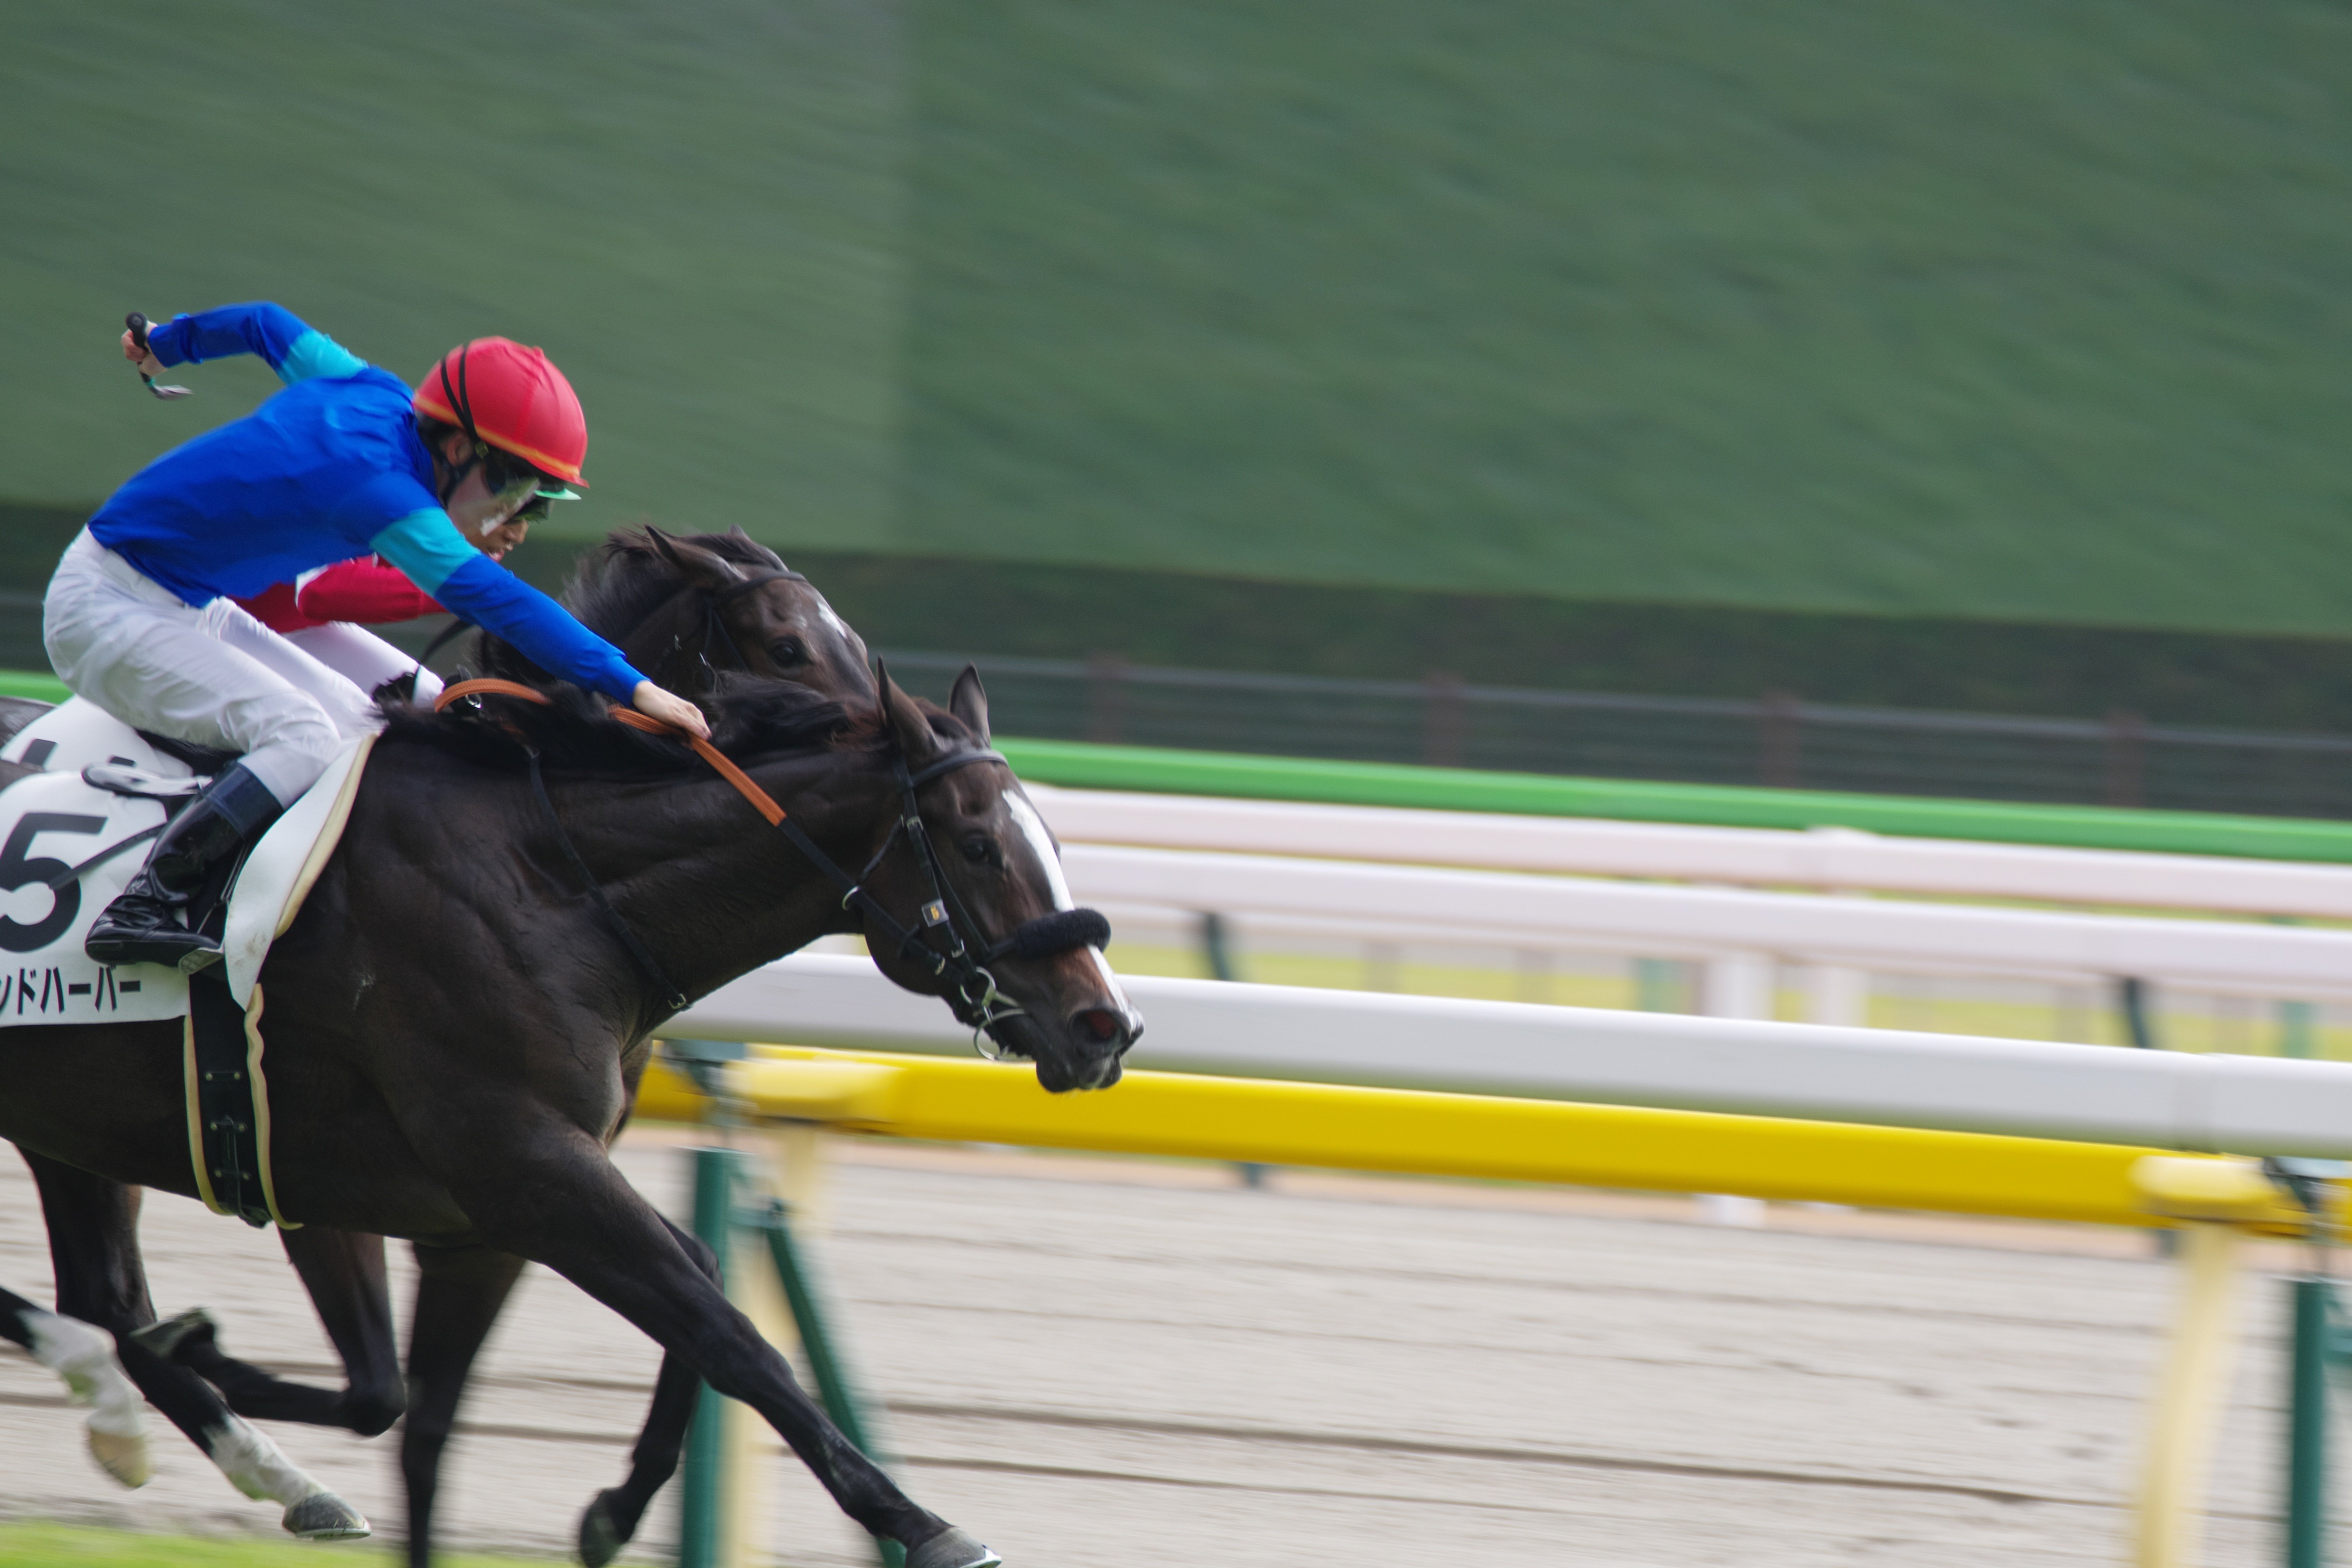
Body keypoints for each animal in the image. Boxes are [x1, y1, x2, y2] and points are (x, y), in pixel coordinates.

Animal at [1, 667, 1137, 1568]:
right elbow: (732, 1340)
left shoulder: (478, 1212)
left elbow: (421, 1412)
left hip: (70, 1130)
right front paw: (923, 1522)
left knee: (106, 1292)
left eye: (1052, 838)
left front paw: (612, 1510)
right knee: (98, 1304)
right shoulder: (521, 1170)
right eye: (980, 845)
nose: (1107, 1026)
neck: (552, 887)